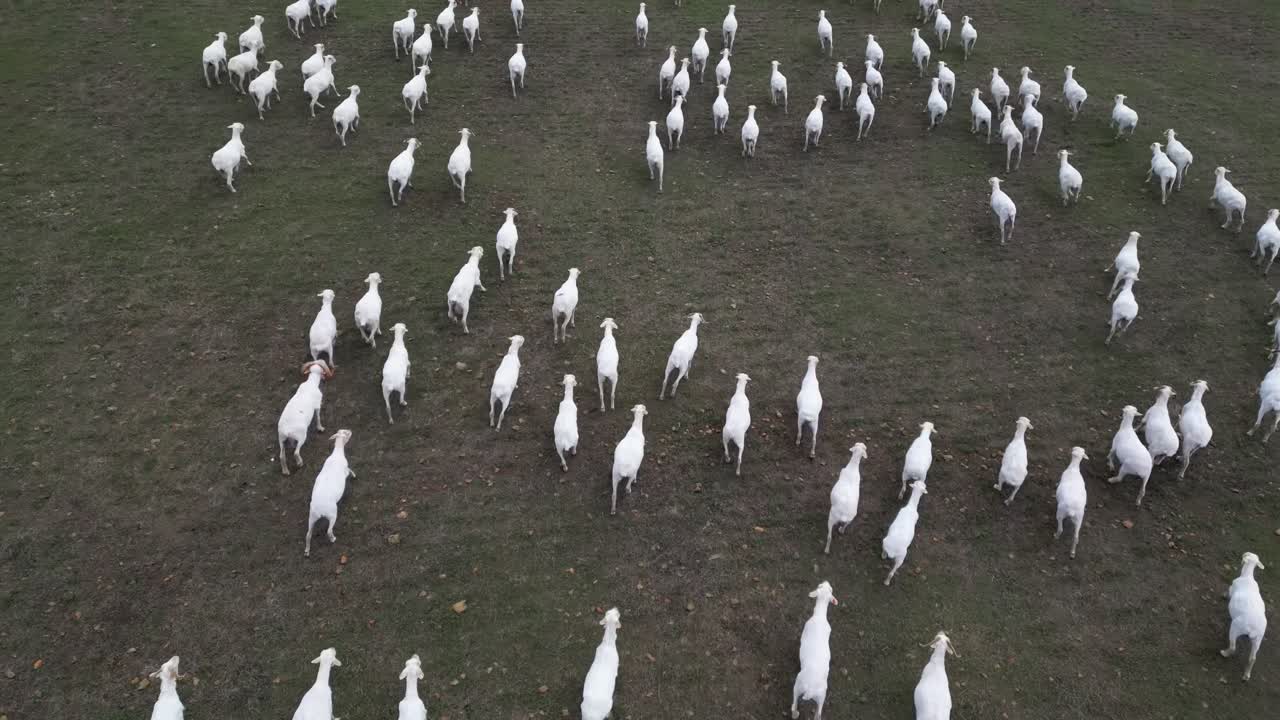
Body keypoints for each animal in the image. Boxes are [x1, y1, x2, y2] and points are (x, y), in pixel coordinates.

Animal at [791, 581, 837, 719]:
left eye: (830, 589)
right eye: (822, 586)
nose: (826, 581)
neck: (820, 615)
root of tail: (810, 691)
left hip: (798, 685)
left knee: (794, 705)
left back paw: (795, 714)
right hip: (821, 697)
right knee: (818, 714)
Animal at [1221, 552, 1268, 681]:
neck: (1247, 576)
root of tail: (1252, 630)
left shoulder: (1232, 587)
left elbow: (1228, 591)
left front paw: (1224, 595)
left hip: (1235, 628)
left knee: (1233, 647)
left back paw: (1224, 653)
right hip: (1258, 639)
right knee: (1253, 658)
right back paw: (1246, 676)